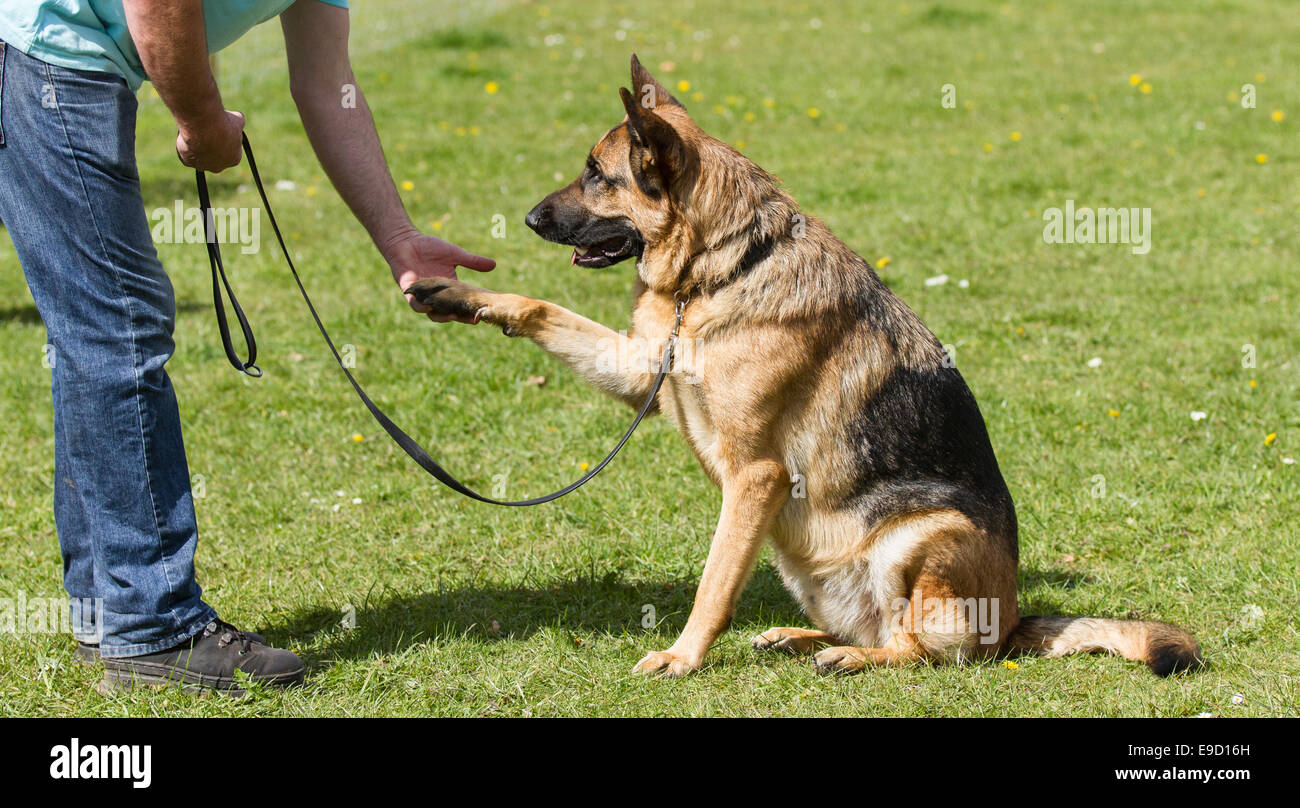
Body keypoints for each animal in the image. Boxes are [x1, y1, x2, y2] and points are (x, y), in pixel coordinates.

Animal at [410, 57, 1201, 675]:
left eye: (595, 175)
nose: (529, 219)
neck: (723, 268)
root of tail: (1011, 624)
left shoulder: (755, 476)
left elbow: (714, 582)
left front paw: (682, 656)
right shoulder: (642, 373)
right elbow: (541, 309)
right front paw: (457, 295)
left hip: (918, 535)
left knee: (923, 650)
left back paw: (850, 657)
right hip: (802, 559)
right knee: (874, 625)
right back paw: (800, 639)